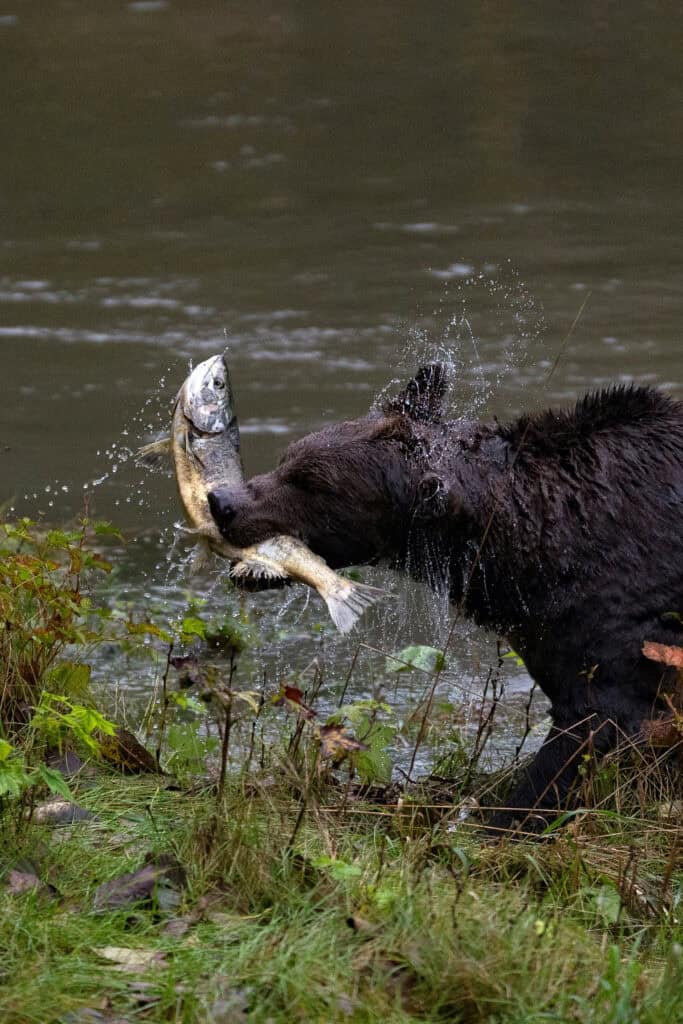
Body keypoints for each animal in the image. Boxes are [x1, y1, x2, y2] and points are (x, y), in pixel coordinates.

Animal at [207, 364, 683, 834]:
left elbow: (584, 731)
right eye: (290, 456)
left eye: (312, 483)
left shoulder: (620, 633)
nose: (222, 501)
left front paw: (499, 822)